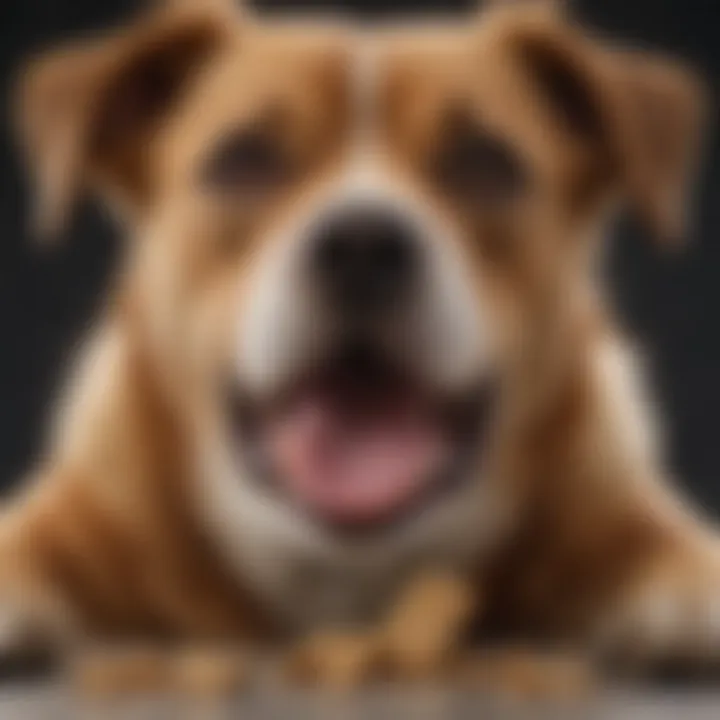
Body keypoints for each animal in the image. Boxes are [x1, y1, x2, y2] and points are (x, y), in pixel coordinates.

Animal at [2, 0, 716, 680]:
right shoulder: (85, 510)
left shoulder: (609, 502)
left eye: (484, 161)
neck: (347, 569)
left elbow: (664, 541)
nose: (362, 245)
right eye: (244, 158)